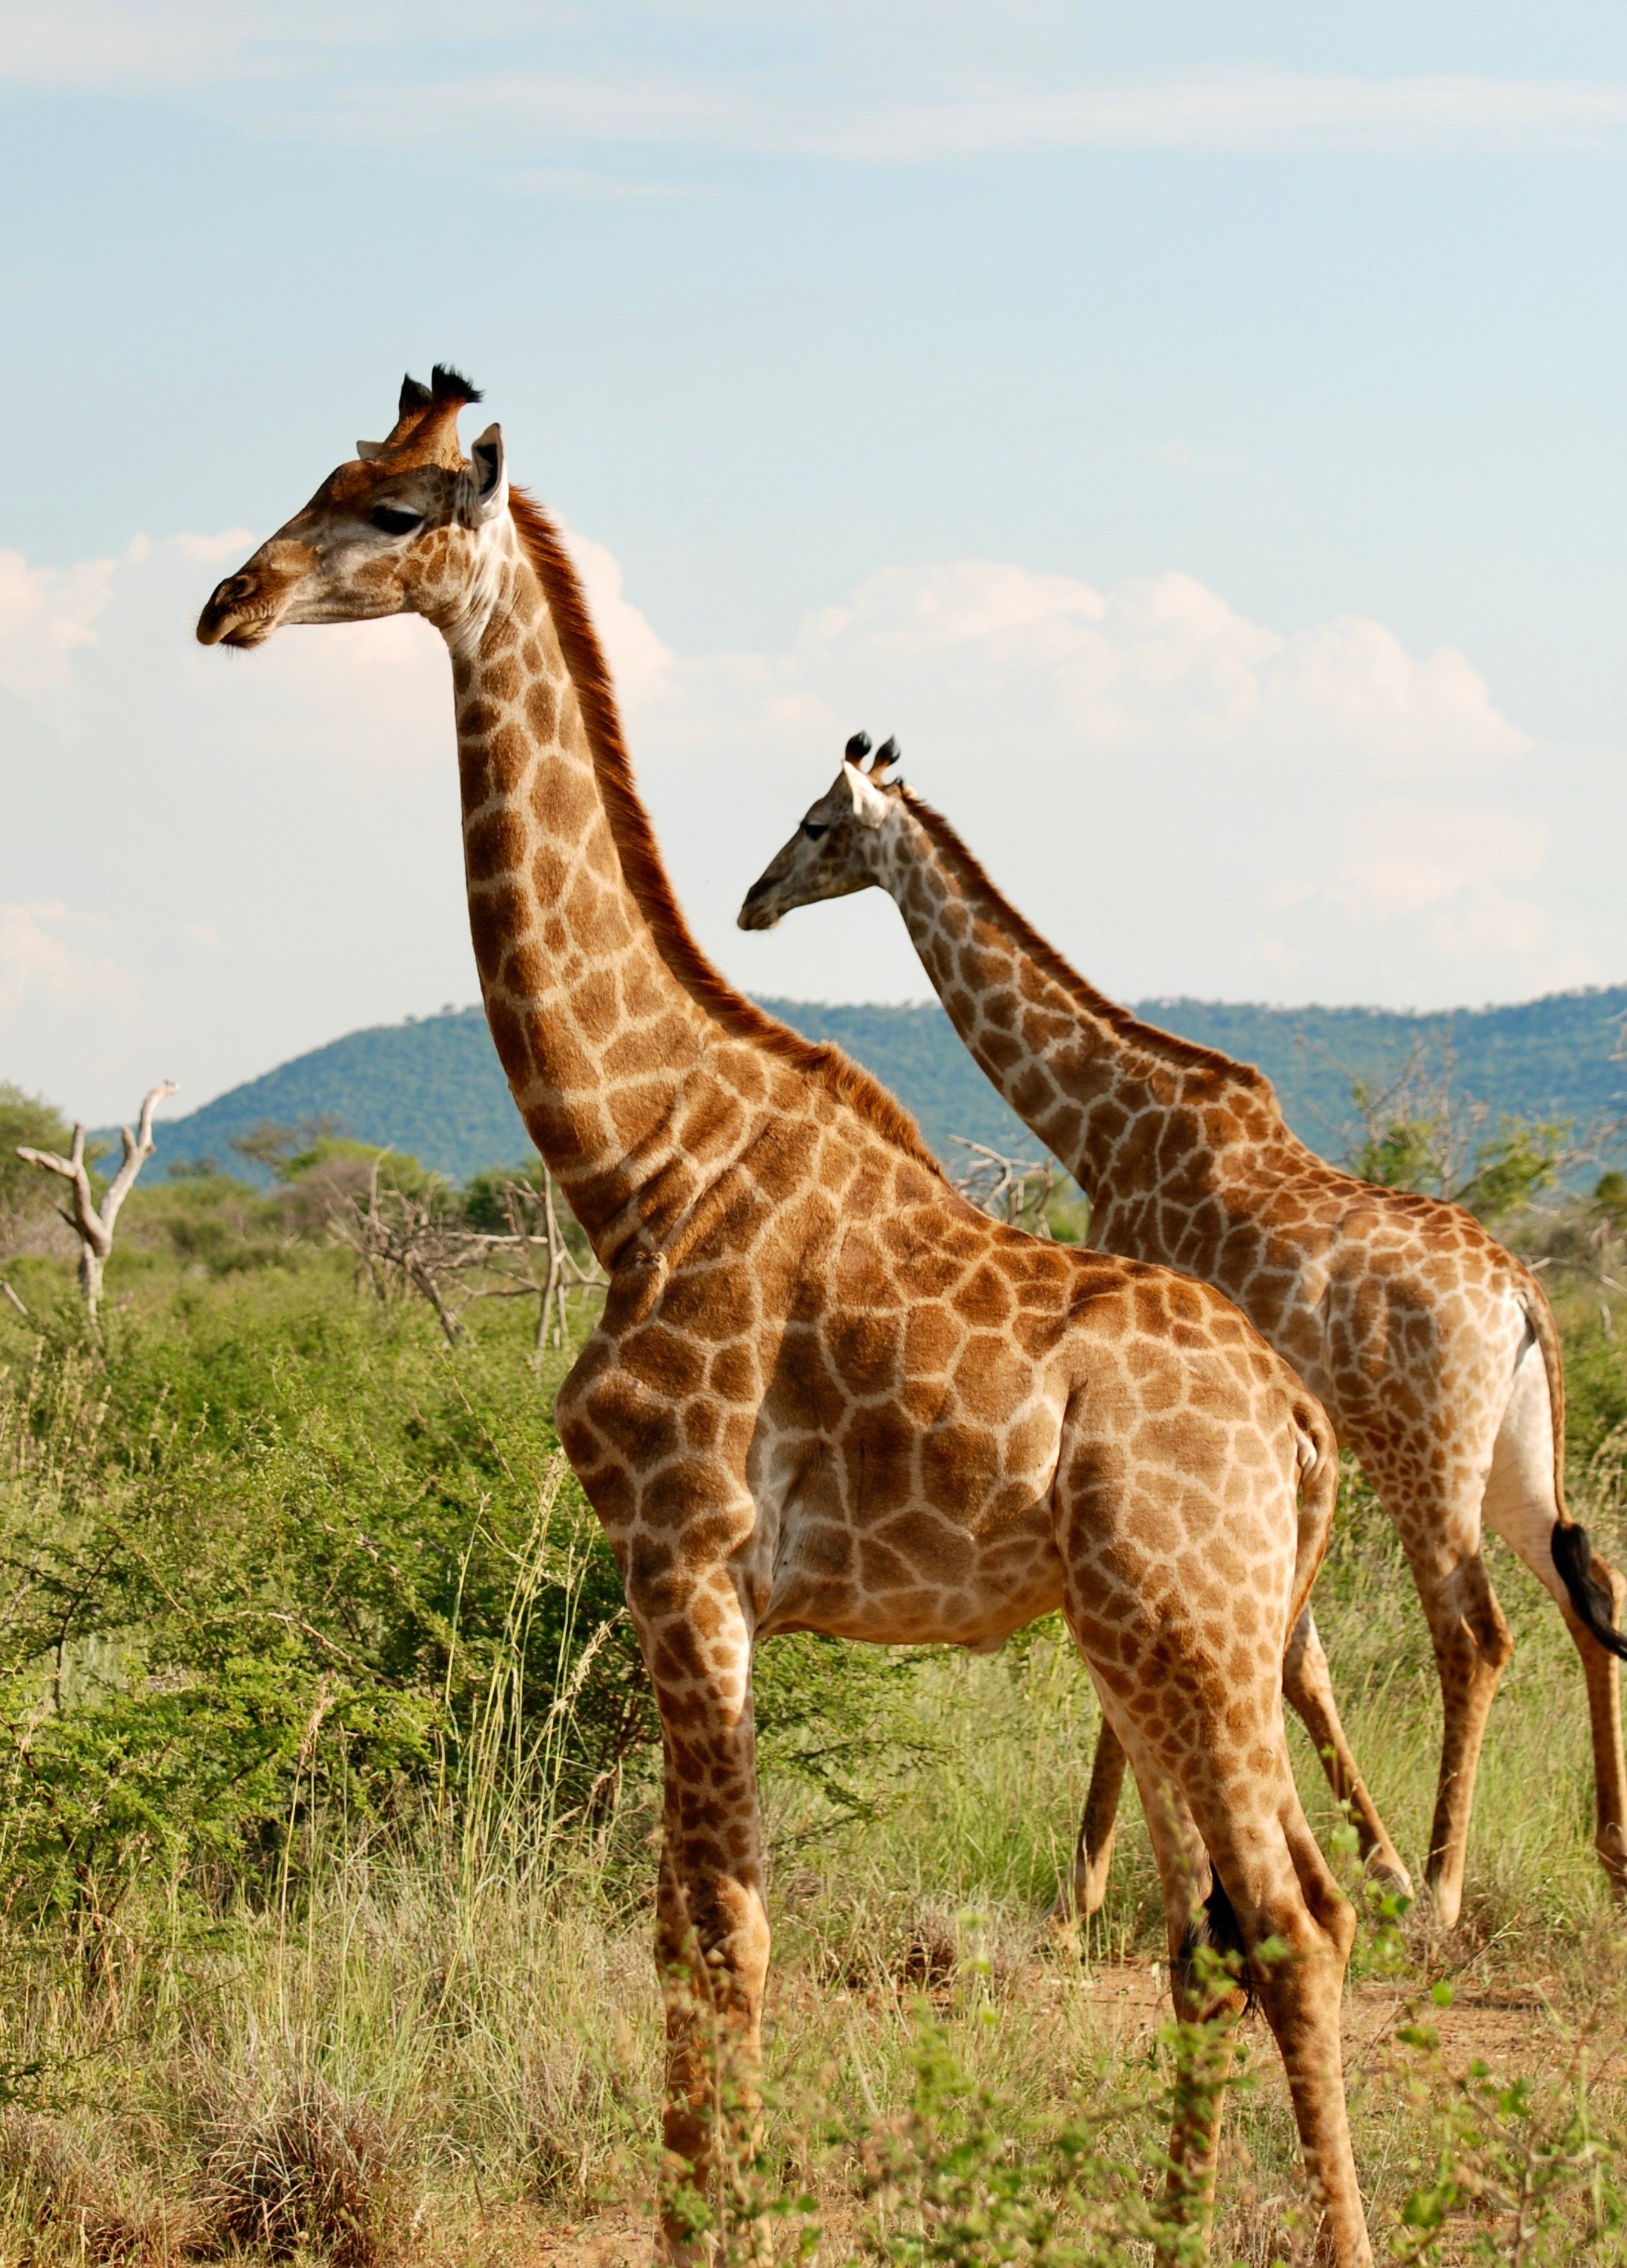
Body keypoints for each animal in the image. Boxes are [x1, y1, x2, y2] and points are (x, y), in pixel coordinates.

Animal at [196, 369, 1373, 2265]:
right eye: (327, 472)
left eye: (390, 509)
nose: (223, 601)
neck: (633, 1151)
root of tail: (1299, 1418)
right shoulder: (694, 1578)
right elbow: (696, 1927)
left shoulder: (681, 1552)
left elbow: (722, 1935)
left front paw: (713, 2221)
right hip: (1146, 1636)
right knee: (1221, 1924)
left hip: (1193, 1631)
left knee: (1293, 1921)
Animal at [738, 735, 1627, 1932]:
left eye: (817, 824)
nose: (752, 901)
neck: (1099, 1123)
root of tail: (1522, 1292)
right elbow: (1290, 1660)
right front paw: (1334, 1860)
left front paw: (1089, 1884)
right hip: (1513, 1452)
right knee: (1590, 1585)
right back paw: (1606, 1856)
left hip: (1423, 1448)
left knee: (1475, 1632)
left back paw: (1442, 1887)